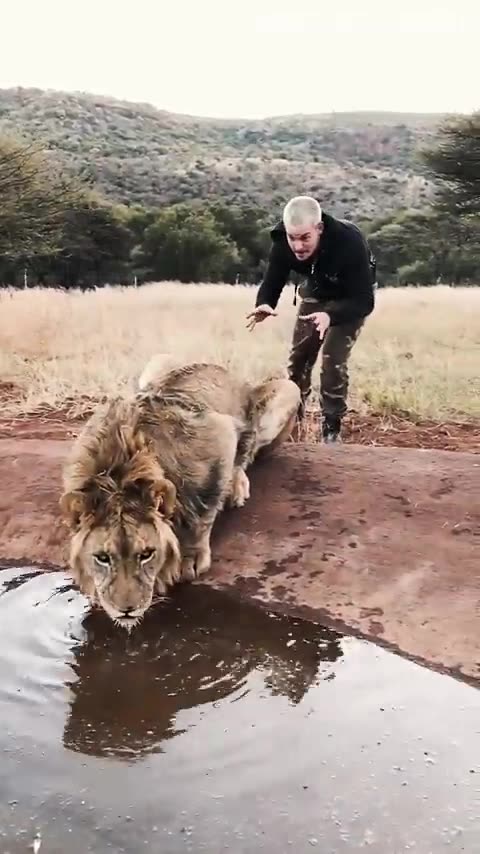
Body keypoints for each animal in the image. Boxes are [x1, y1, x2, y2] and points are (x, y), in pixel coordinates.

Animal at [59, 355, 300, 630]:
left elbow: (204, 510)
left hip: (289, 389)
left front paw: (191, 557)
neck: (118, 472)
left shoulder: (220, 432)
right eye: (102, 558)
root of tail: (218, 366)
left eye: (146, 555)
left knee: (249, 451)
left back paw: (238, 486)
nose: (126, 611)